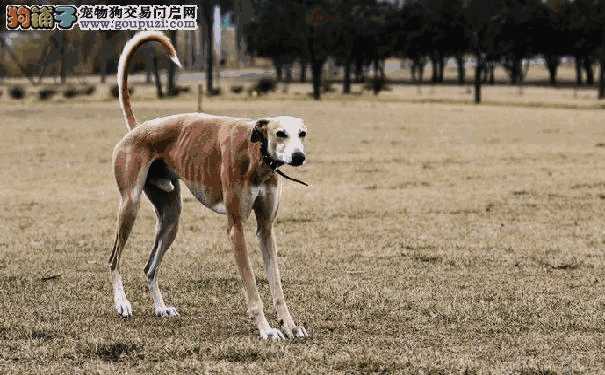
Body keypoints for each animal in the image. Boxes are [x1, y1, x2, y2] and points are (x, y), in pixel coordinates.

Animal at [107, 32, 306, 340]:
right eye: (280, 133)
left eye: (302, 134)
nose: (299, 157)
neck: (257, 155)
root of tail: (138, 129)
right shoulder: (236, 228)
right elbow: (252, 287)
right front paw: (266, 329)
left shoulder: (266, 229)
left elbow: (277, 285)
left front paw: (290, 325)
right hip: (130, 204)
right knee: (114, 259)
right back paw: (122, 303)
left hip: (171, 217)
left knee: (150, 266)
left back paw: (160, 308)